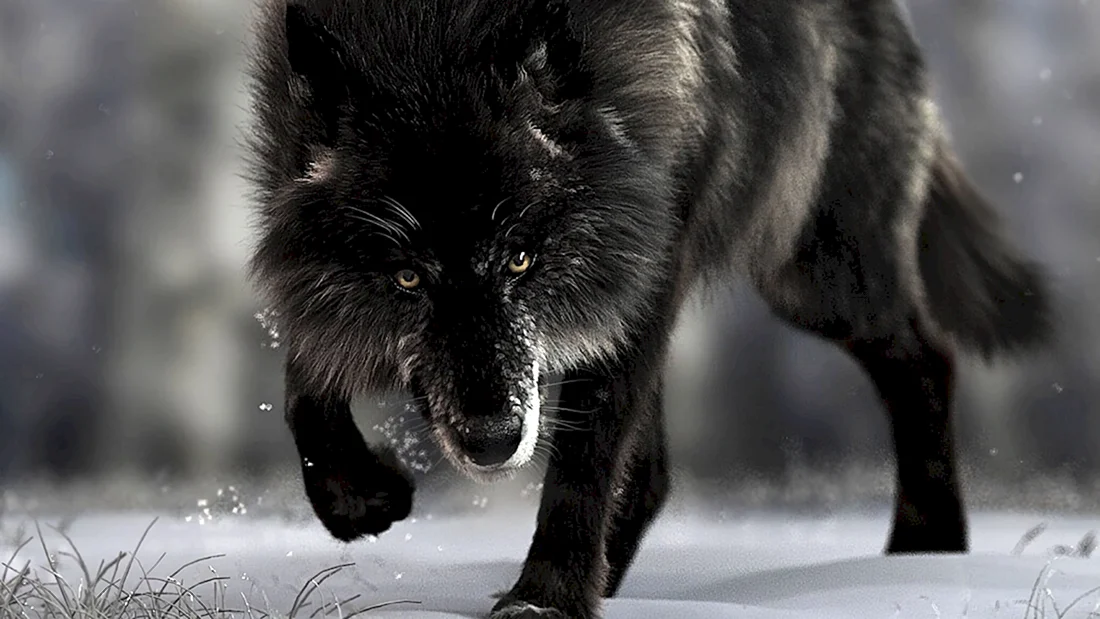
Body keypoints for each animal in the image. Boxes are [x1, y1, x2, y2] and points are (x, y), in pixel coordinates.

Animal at [243, 0, 1051, 616]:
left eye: (521, 258)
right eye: (408, 278)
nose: (492, 441)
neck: (432, 28)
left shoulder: (643, 266)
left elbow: (585, 461)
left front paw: (543, 603)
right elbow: (305, 376)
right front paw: (358, 496)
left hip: (815, 277)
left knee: (927, 359)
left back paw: (923, 560)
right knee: (657, 470)